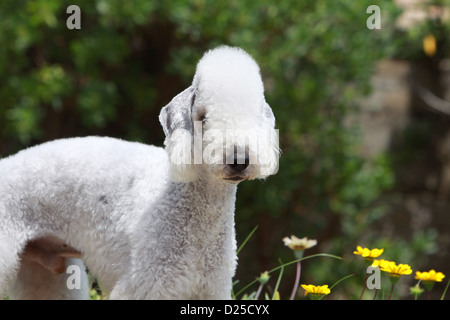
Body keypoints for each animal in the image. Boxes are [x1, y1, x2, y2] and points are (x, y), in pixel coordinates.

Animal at [0, 45, 280, 300]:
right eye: (203, 117)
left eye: (253, 116)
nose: (239, 160)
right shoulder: (147, 284)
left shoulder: (211, 289)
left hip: (44, 271)